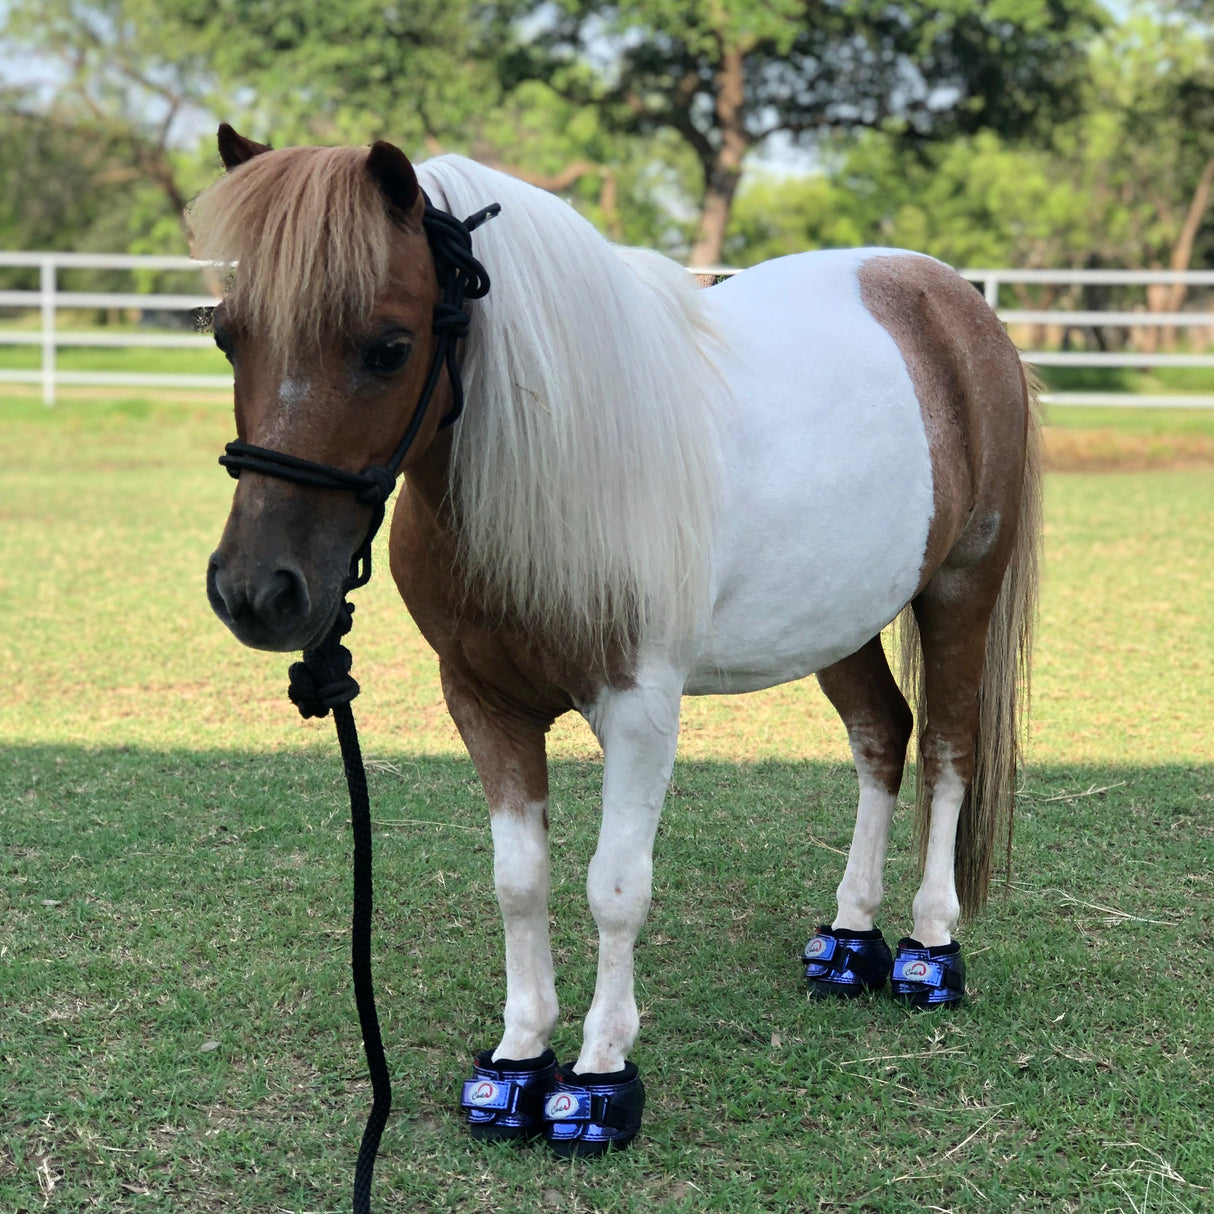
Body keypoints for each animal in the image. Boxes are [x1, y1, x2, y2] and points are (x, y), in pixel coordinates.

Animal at [194, 126, 1040, 1157]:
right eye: (228, 335)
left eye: (389, 348)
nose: (256, 592)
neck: (550, 464)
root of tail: (948, 296)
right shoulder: (482, 700)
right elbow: (519, 881)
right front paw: (517, 1064)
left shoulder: (640, 709)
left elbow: (614, 887)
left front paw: (599, 1078)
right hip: (841, 616)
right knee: (882, 735)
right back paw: (848, 942)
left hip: (961, 590)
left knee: (950, 751)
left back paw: (928, 950)